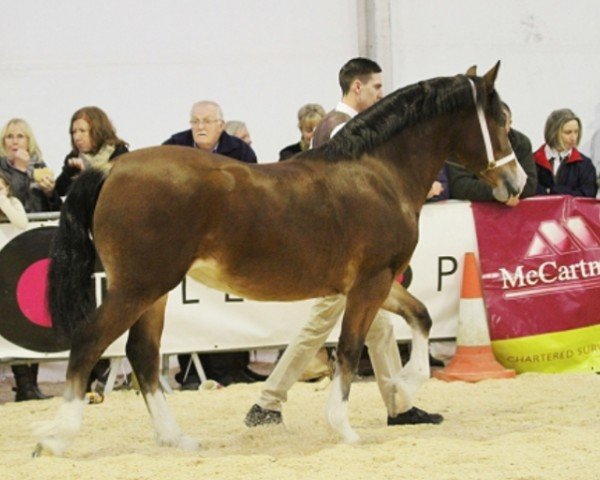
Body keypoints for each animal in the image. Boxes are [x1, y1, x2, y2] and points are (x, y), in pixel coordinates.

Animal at [35, 62, 524, 456]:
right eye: (501, 119)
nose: (517, 183)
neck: (377, 174)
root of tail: (113, 168)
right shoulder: (370, 282)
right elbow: (350, 349)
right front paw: (345, 428)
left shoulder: (375, 282)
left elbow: (420, 318)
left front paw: (403, 390)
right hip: (139, 286)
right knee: (89, 342)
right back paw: (55, 438)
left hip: (154, 292)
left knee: (142, 354)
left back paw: (174, 438)